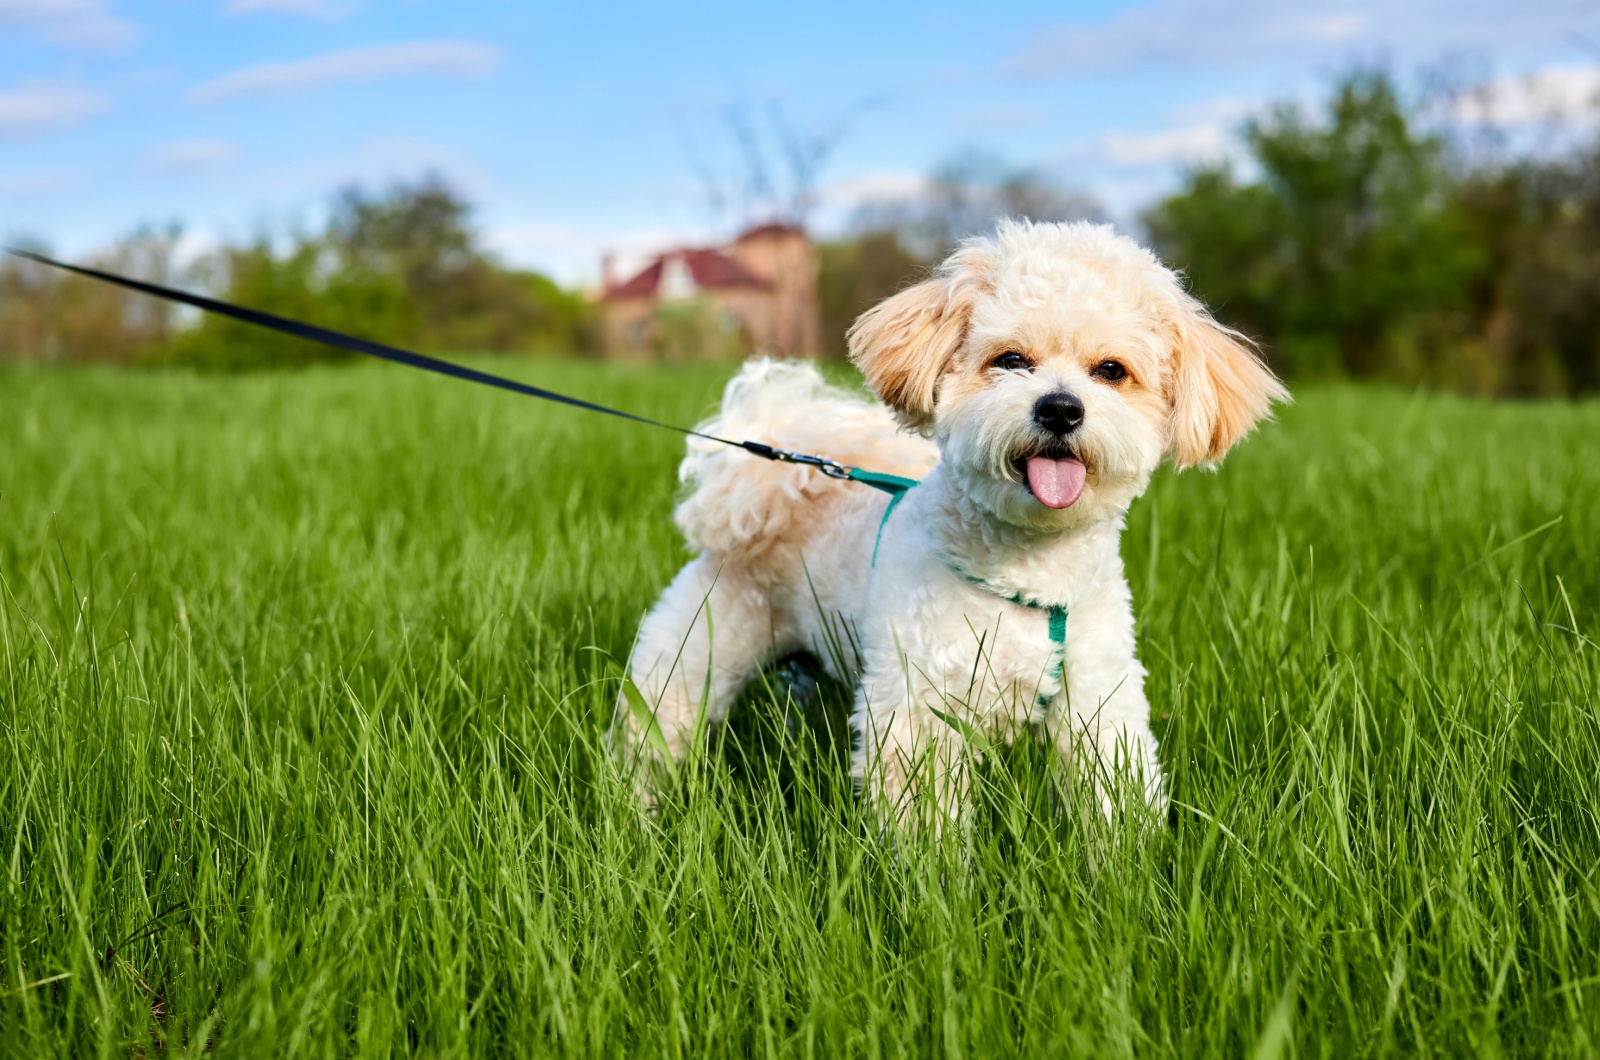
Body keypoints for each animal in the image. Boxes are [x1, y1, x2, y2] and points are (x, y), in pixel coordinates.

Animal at [617, 219, 1280, 819]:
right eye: (1010, 360)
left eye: (1112, 370)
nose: (1060, 408)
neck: (1030, 576)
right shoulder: (918, 709)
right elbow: (927, 825)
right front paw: (933, 877)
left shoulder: (1098, 698)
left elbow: (1113, 796)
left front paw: (1124, 864)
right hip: (690, 655)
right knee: (651, 732)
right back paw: (635, 812)